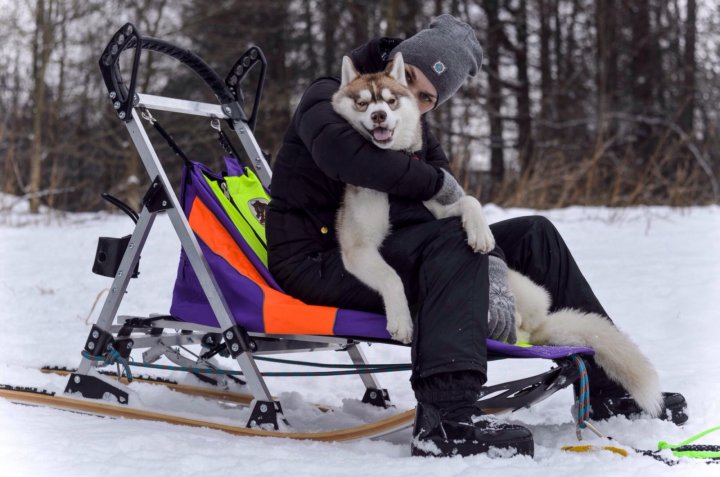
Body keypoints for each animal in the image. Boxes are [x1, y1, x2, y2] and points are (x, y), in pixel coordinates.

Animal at [332, 53, 496, 342]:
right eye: (362, 103)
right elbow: (391, 276)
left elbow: (469, 200)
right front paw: (401, 320)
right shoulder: (358, 248)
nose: (378, 115)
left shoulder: (435, 205)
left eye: (391, 101)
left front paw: (481, 232)